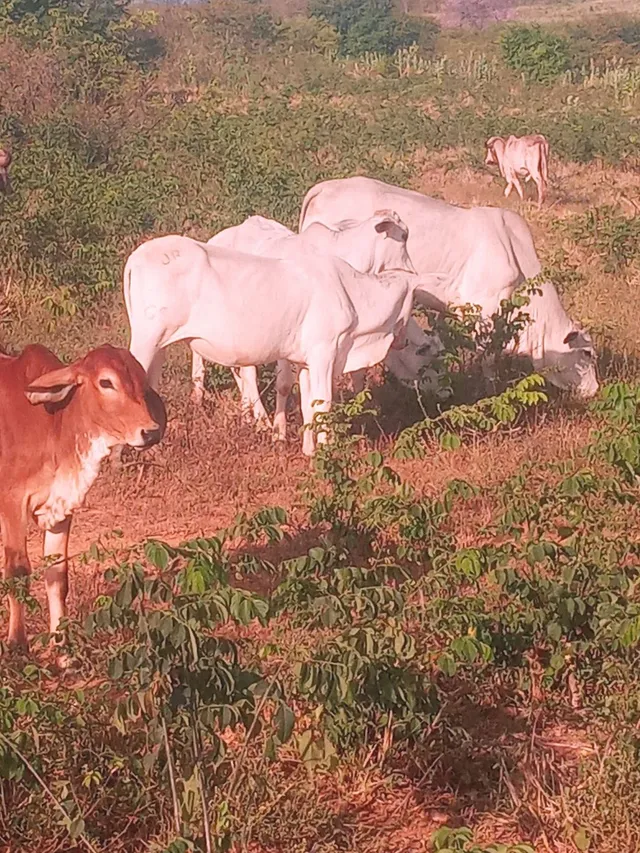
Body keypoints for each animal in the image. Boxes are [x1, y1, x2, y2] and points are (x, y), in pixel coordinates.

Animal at [0, 344, 166, 657]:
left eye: (140, 378)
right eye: (106, 382)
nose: (149, 431)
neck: (52, 423)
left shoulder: (61, 509)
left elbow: (57, 576)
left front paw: (63, 650)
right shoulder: (12, 505)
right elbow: (18, 572)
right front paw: (17, 645)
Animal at [124, 235, 440, 455]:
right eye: (425, 355)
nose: (442, 393)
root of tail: (138, 256)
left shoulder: (304, 360)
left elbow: (307, 404)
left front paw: (309, 449)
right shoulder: (324, 352)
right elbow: (323, 403)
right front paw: (328, 450)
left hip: (159, 346)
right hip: (147, 339)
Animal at [299, 176, 598, 399]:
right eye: (587, 353)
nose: (595, 390)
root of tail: (325, 187)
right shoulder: (486, 315)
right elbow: (488, 360)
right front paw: (488, 390)